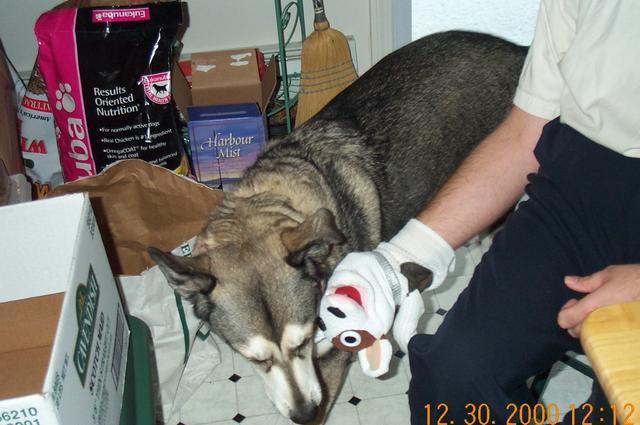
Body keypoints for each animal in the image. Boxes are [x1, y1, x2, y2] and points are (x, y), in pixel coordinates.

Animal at [149, 31, 527, 424]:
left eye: (303, 342)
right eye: (256, 359)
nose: (304, 413)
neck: (279, 196)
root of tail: (518, 51)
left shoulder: (331, 356)